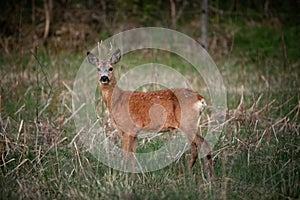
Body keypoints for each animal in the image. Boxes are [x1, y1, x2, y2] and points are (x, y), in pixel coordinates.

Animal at [87, 44, 216, 177]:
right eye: (98, 69)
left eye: (111, 68)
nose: (104, 78)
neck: (117, 101)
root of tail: (201, 99)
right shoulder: (134, 131)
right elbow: (132, 155)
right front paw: (133, 175)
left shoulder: (127, 128)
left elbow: (125, 155)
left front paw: (122, 176)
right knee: (196, 148)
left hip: (187, 122)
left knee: (204, 146)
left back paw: (205, 176)